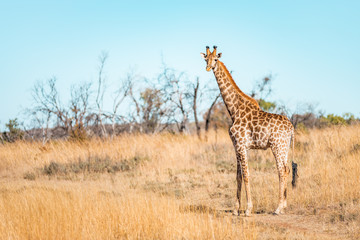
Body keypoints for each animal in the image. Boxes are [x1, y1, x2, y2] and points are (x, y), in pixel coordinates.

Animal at [201, 46, 294, 217]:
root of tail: (291, 128)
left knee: (281, 171)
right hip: (285, 147)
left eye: (215, 59)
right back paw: (284, 206)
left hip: (277, 146)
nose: (208, 68)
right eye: (206, 59)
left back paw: (278, 208)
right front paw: (236, 209)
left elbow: (246, 175)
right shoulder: (238, 146)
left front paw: (248, 209)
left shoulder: (241, 144)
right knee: (287, 169)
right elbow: (238, 175)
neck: (234, 110)